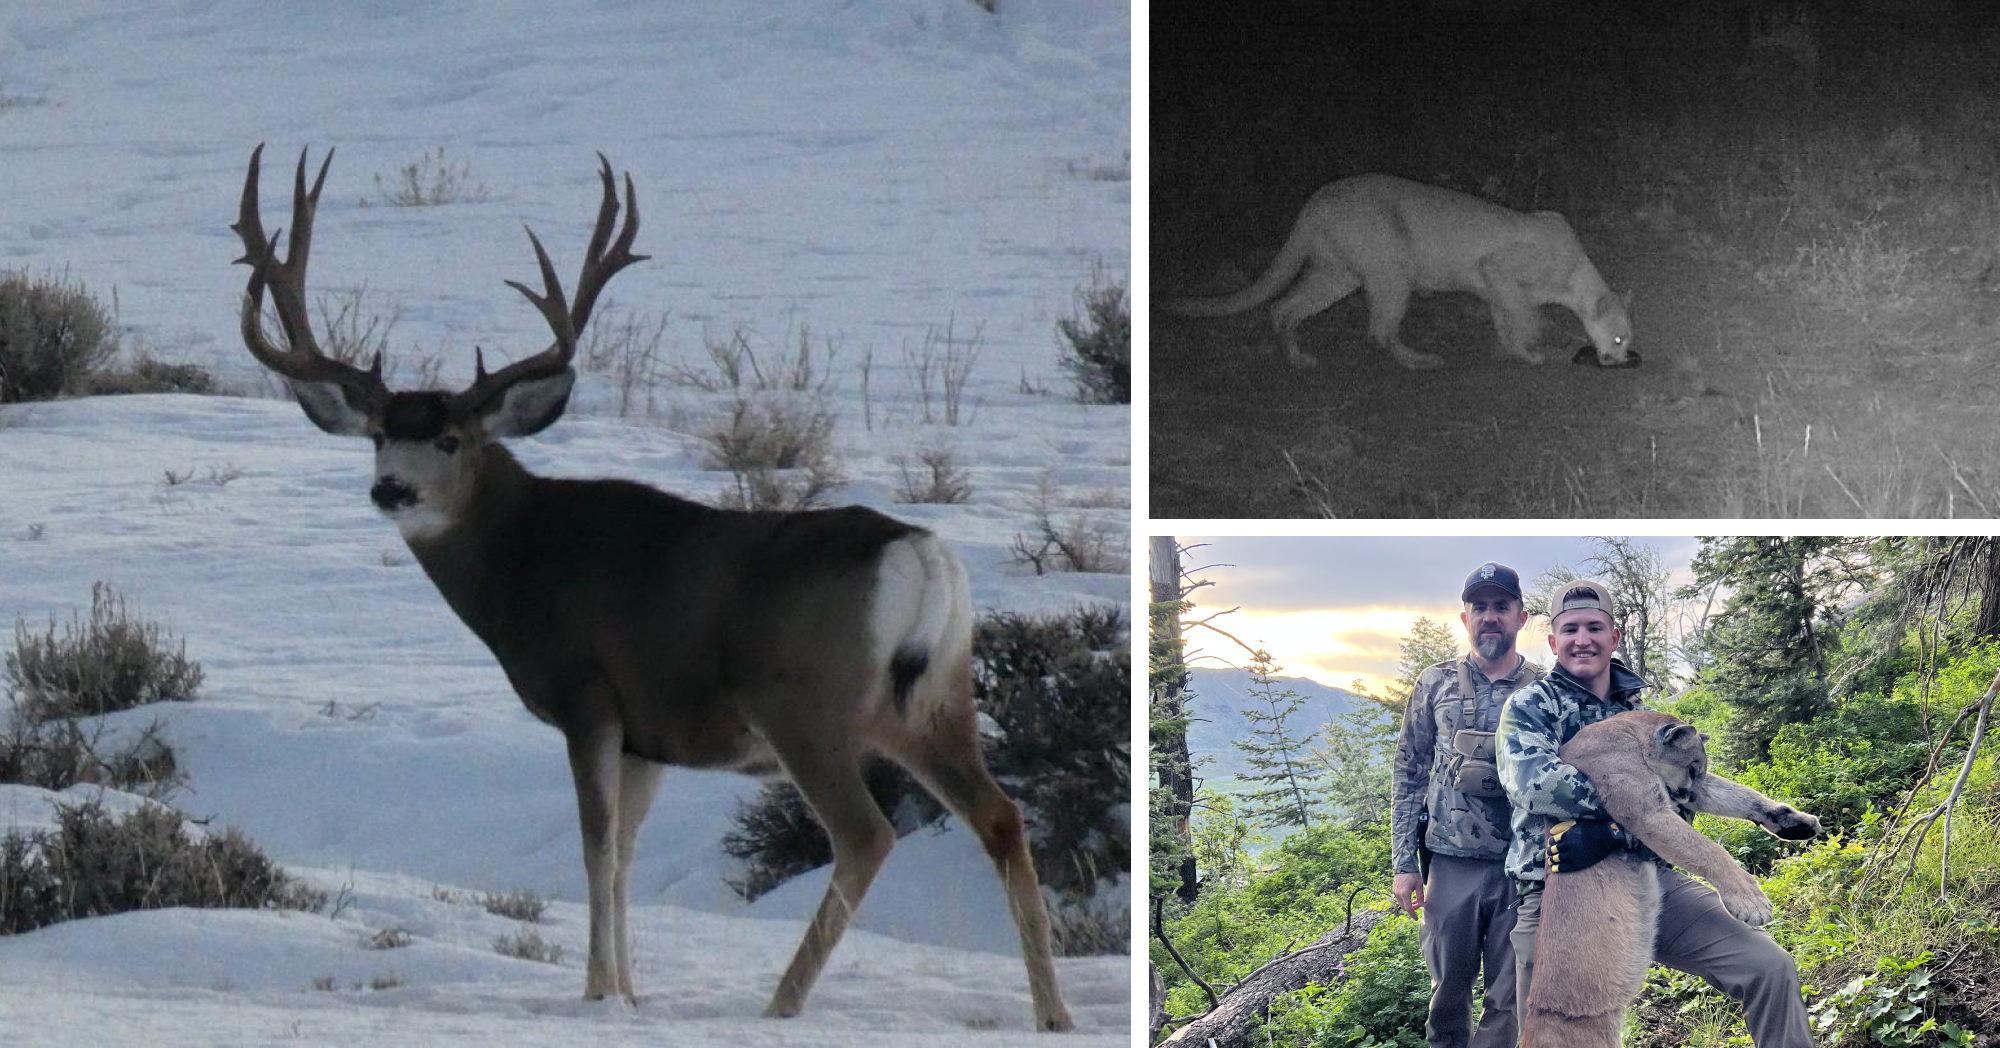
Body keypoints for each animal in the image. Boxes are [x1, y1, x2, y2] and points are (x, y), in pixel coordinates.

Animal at [229, 144, 1072, 1032]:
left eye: (452, 439)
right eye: (381, 435)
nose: (391, 489)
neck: (520, 559)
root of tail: (922, 554)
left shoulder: (588, 693)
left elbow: (596, 846)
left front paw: (598, 992)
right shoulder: (648, 735)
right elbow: (627, 854)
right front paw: (631, 992)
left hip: (802, 703)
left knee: (866, 835)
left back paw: (781, 1003)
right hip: (936, 700)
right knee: (1001, 816)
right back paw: (1053, 1013)